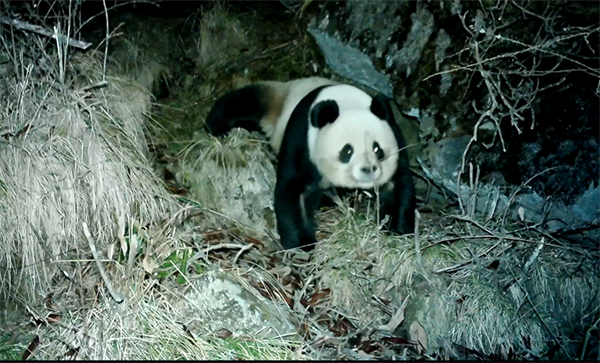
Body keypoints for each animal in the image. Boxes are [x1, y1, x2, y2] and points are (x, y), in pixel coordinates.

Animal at [204, 77, 414, 250]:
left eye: (377, 149)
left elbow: (398, 185)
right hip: (275, 102)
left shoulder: (394, 134)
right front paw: (303, 243)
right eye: (347, 151)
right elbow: (293, 189)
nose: (368, 169)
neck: (345, 101)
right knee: (245, 102)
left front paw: (397, 229)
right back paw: (218, 126)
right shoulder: (302, 138)